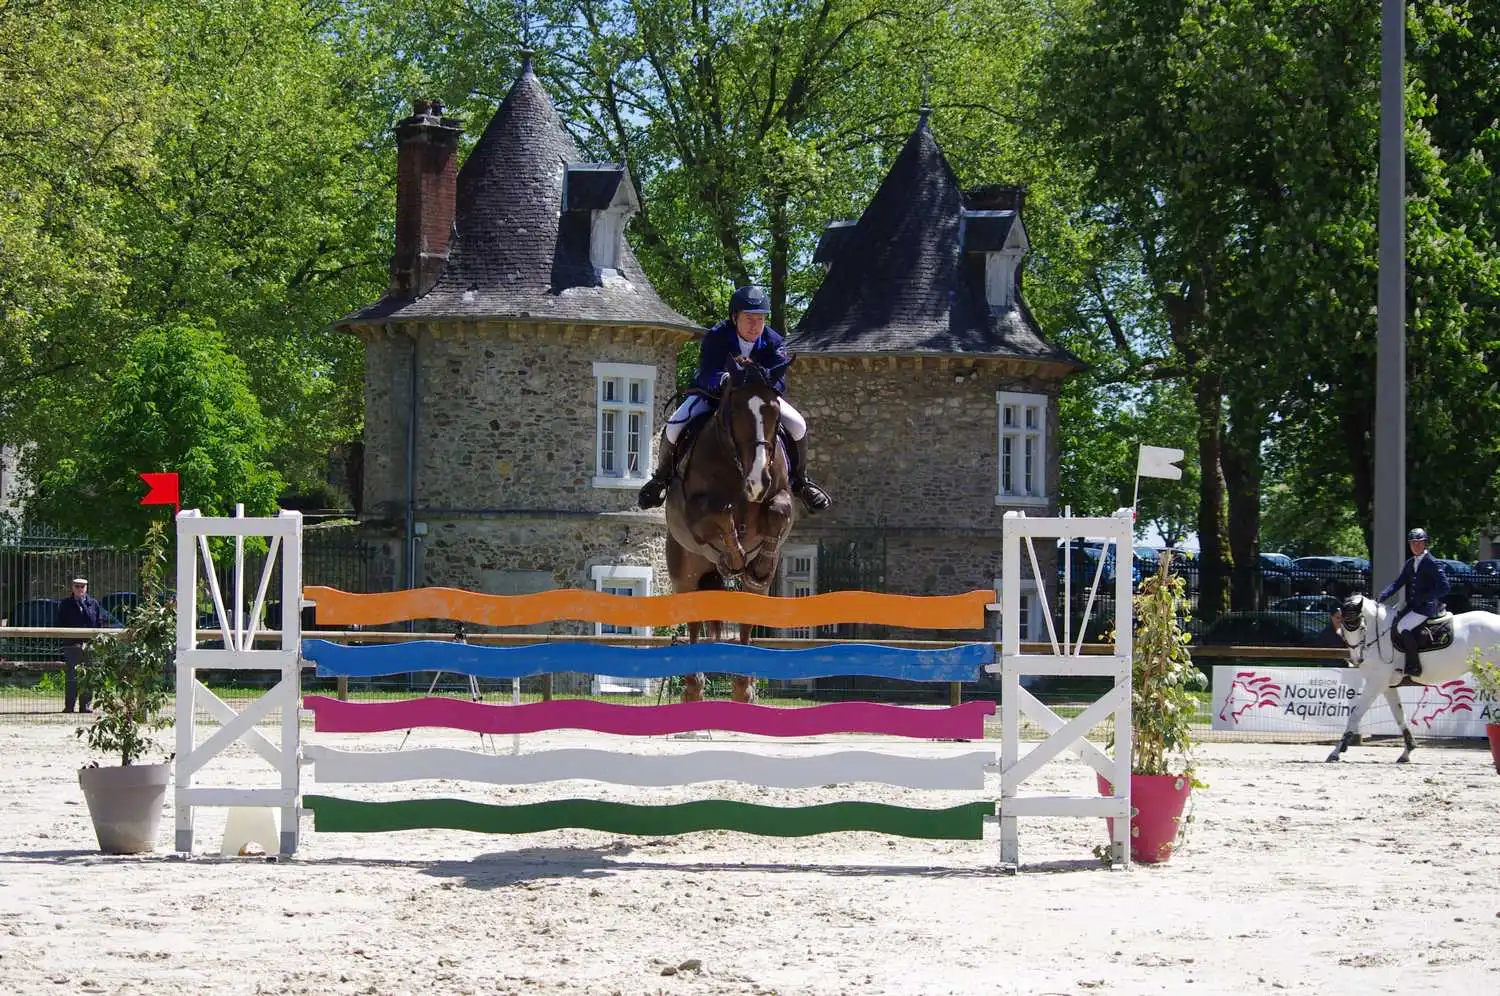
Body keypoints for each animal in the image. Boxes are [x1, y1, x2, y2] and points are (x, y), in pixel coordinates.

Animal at [666, 354, 804, 705]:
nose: (757, 481)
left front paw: (760, 561)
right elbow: (723, 512)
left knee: (747, 621)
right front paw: (734, 554)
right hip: (686, 575)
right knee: (694, 624)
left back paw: (744, 685)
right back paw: (693, 684)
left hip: (753, 592)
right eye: (736, 410)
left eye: (774, 412)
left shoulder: (781, 496)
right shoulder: (696, 513)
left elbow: (778, 512)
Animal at [1326, 600, 1500, 762]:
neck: (1380, 634)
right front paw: (1407, 751)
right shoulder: (1387, 685)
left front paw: (1336, 751)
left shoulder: (1376, 682)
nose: (1357, 659)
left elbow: (1356, 713)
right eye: (1343, 629)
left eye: (1362, 628)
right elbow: (1399, 715)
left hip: (1492, 675)